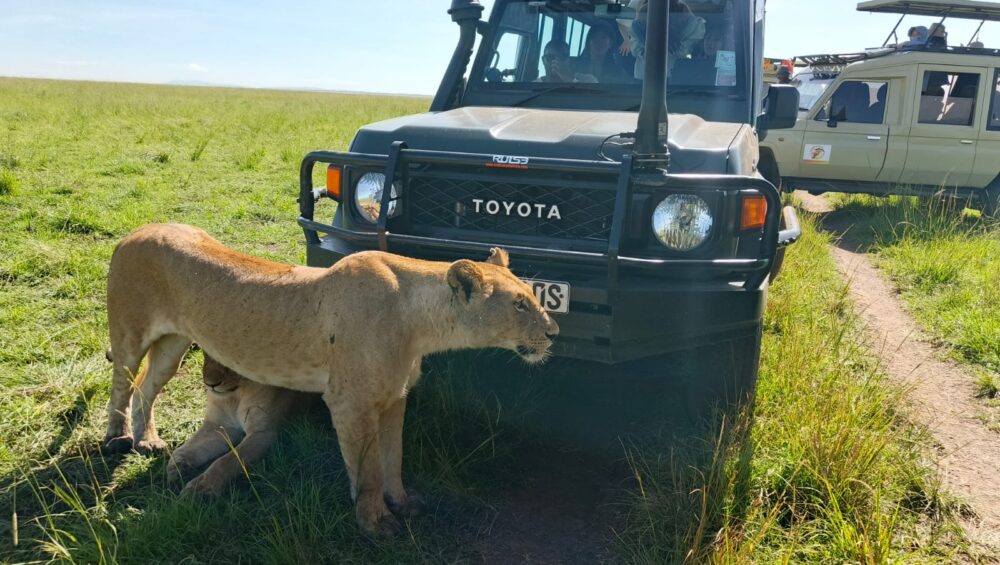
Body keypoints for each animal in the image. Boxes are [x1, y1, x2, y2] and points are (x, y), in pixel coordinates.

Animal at [102, 223, 558, 535]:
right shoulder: (350, 402)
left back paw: (148, 441)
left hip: (175, 343)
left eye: (532, 298)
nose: (554, 332)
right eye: (519, 305)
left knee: (146, 388)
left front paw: (402, 502)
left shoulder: (395, 397)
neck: (421, 325)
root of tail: (138, 229)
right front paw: (376, 523)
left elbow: (393, 458)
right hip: (129, 335)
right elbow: (368, 470)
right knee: (121, 386)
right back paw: (118, 439)